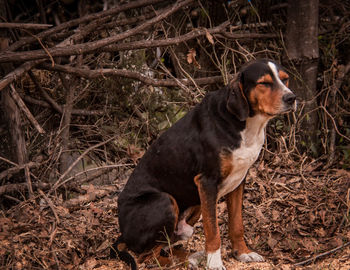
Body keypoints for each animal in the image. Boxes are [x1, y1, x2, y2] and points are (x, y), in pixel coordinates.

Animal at [110, 58, 296, 268]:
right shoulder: (207, 182)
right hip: (165, 201)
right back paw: (186, 262)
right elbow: (213, 231)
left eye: (285, 79)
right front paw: (214, 263)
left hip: (195, 205)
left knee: (166, 246)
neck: (243, 124)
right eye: (264, 83)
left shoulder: (238, 181)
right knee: (147, 256)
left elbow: (236, 224)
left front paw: (242, 253)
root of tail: (123, 234)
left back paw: (193, 256)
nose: (292, 98)